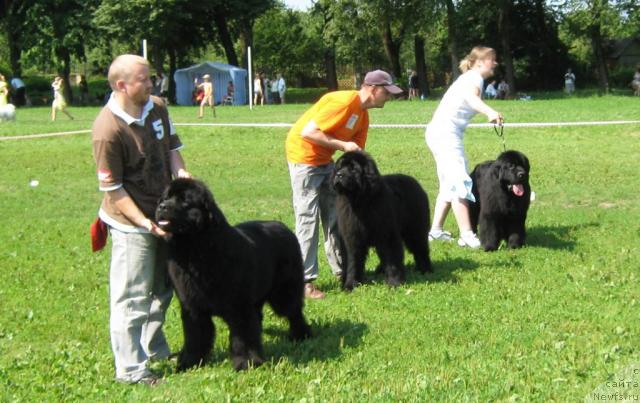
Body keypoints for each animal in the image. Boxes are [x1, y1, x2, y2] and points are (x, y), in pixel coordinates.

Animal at [158, 180, 312, 372]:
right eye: (166, 197)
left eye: (184, 200)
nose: (161, 206)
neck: (196, 250)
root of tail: (284, 227)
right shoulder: (193, 309)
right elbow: (195, 337)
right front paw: (188, 363)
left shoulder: (239, 306)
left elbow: (243, 337)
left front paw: (247, 363)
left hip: (283, 292)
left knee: (293, 311)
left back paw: (301, 335)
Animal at [332, 152, 432, 290]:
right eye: (340, 167)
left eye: (353, 169)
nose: (339, 174)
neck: (360, 202)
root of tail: (416, 184)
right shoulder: (352, 237)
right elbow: (353, 261)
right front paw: (350, 284)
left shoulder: (387, 234)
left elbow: (392, 259)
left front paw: (395, 282)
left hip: (415, 229)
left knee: (421, 249)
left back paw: (425, 269)